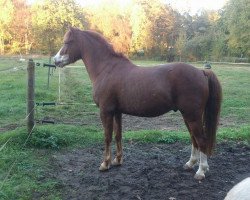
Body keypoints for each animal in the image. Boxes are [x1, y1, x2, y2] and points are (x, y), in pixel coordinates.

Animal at [53, 27, 222, 180]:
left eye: (67, 42)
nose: (55, 60)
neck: (106, 69)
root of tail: (201, 71)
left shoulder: (106, 111)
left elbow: (107, 137)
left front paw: (105, 164)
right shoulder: (117, 112)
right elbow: (118, 135)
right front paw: (117, 160)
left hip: (192, 116)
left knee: (201, 140)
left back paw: (201, 171)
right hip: (188, 116)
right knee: (194, 139)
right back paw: (190, 164)